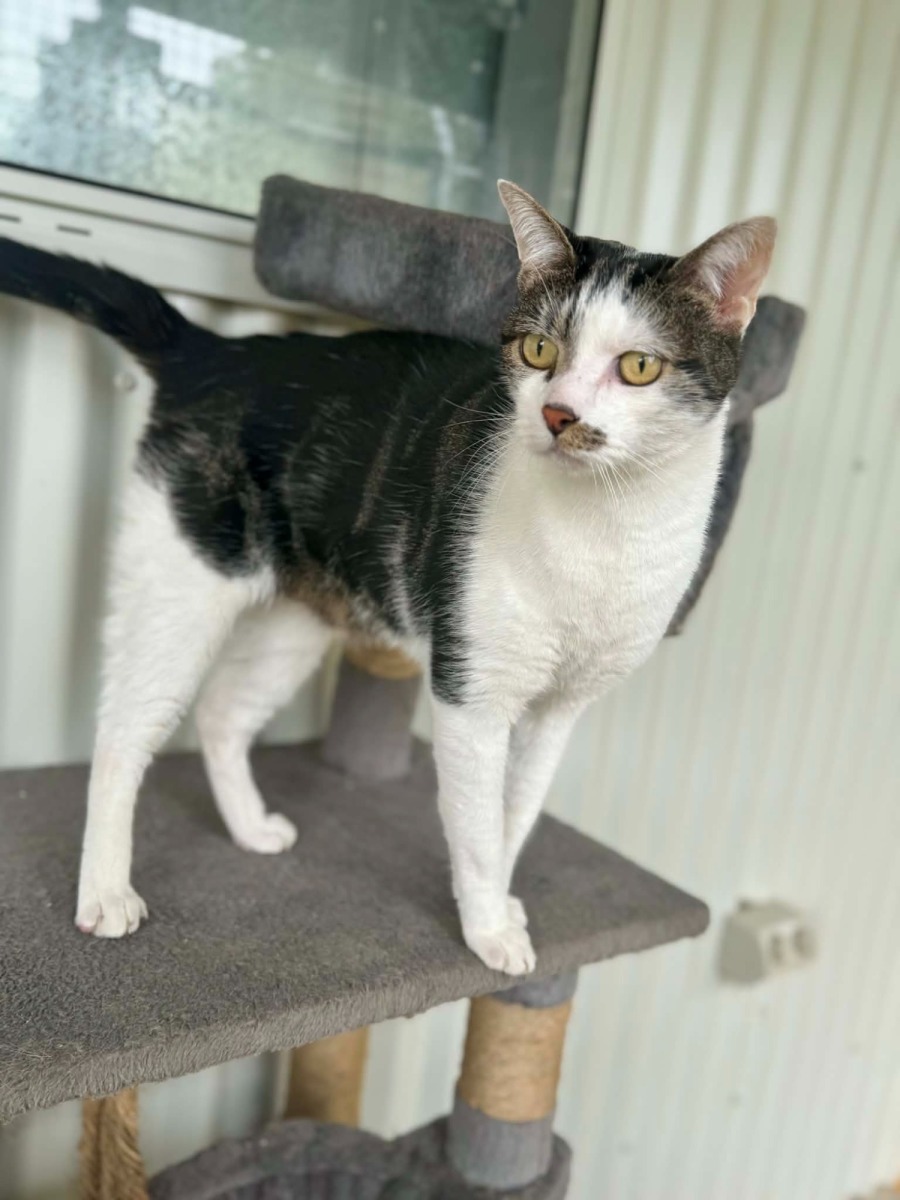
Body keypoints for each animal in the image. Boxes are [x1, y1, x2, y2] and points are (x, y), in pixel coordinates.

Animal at [0, 182, 774, 974]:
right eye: (540, 350)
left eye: (640, 366)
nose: (560, 414)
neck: (605, 529)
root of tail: (218, 348)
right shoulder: (472, 695)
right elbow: (476, 830)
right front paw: (489, 930)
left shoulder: (560, 711)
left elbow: (517, 817)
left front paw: (503, 903)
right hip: (181, 583)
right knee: (123, 729)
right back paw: (105, 892)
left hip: (298, 623)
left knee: (221, 713)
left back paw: (251, 828)